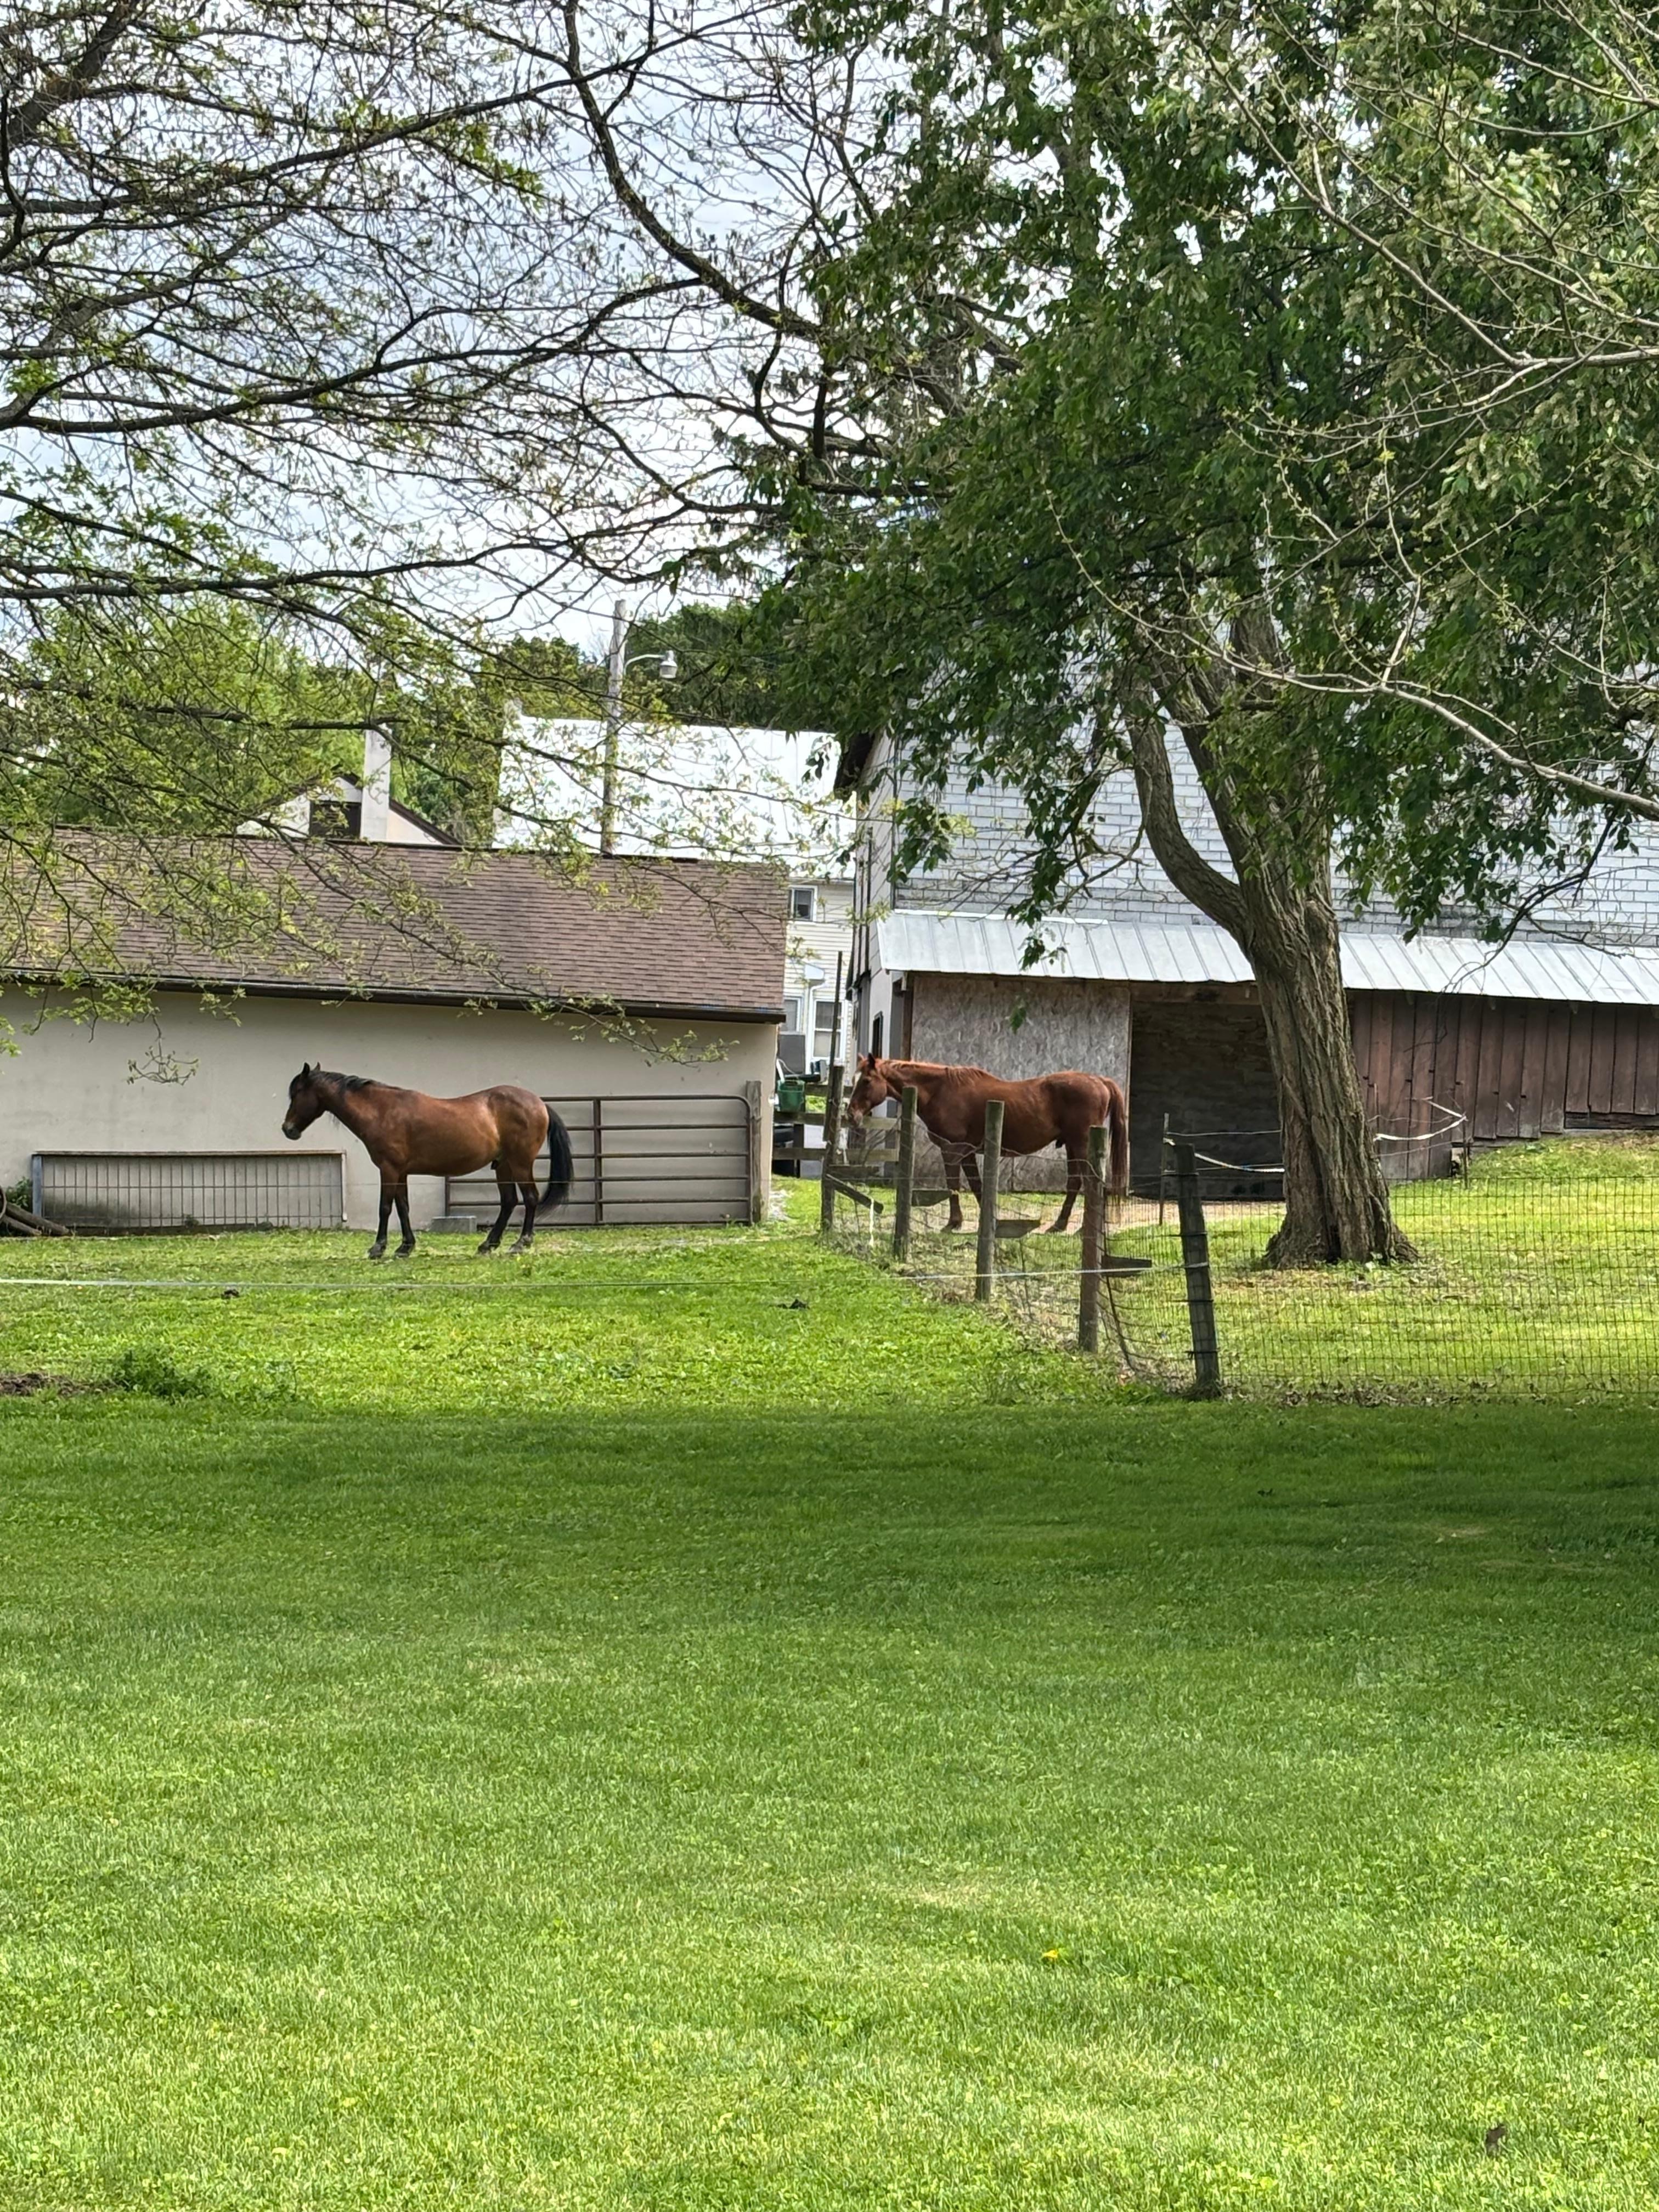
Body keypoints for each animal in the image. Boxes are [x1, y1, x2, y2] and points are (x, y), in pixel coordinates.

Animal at [282, 1064, 573, 1260]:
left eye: (297, 1093)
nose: (288, 1130)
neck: (381, 1111)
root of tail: (538, 1103)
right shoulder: (400, 1172)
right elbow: (403, 1207)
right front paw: (405, 1247)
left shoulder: (389, 1170)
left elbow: (385, 1208)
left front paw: (379, 1247)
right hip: (503, 1165)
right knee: (509, 1202)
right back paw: (488, 1245)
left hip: (520, 1163)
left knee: (530, 1198)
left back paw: (521, 1243)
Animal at [844, 1054, 1129, 1233]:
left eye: (866, 1081)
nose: (851, 1115)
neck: (940, 1091)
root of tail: (1099, 1081)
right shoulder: (968, 1153)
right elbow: (977, 1186)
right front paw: (991, 1223)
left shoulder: (952, 1150)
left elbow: (954, 1186)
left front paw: (954, 1222)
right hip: (1073, 1145)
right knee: (1076, 1182)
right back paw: (1062, 1225)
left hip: (1080, 1144)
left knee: (1089, 1182)